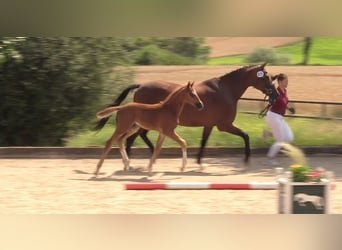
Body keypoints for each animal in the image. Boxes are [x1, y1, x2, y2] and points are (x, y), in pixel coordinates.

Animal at [94, 63, 278, 166]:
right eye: (266, 77)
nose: (275, 95)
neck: (225, 91)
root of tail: (141, 86)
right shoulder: (224, 125)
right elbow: (245, 135)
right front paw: (246, 158)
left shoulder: (209, 125)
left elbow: (203, 142)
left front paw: (198, 162)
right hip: (141, 123)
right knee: (131, 139)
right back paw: (131, 162)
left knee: (137, 137)